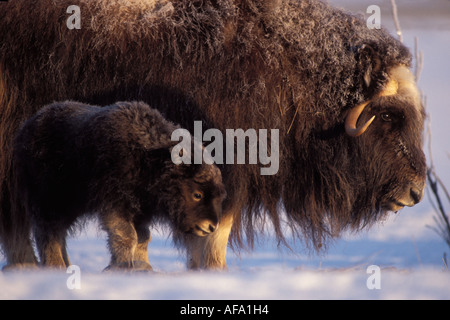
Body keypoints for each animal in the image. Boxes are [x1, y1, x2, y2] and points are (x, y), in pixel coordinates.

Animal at [12, 100, 227, 270]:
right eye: (197, 194)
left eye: (219, 196)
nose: (211, 226)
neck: (148, 159)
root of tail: (25, 129)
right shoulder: (115, 202)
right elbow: (126, 235)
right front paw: (123, 267)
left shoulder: (141, 211)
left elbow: (143, 237)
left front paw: (141, 267)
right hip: (49, 202)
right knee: (48, 232)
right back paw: (55, 267)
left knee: (58, 233)